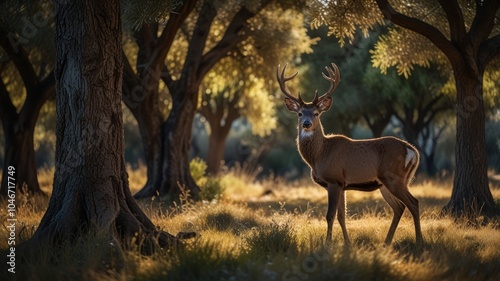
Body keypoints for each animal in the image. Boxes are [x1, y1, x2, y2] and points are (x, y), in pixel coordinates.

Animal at [278, 62, 422, 244]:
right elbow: (342, 216)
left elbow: (330, 215)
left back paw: (419, 241)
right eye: (300, 113)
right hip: (386, 183)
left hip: (394, 177)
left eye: (316, 113)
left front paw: (328, 243)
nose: (306, 123)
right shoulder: (341, 184)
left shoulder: (334, 179)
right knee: (399, 207)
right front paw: (347, 243)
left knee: (413, 203)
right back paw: (387, 242)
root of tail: (412, 151)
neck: (319, 155)